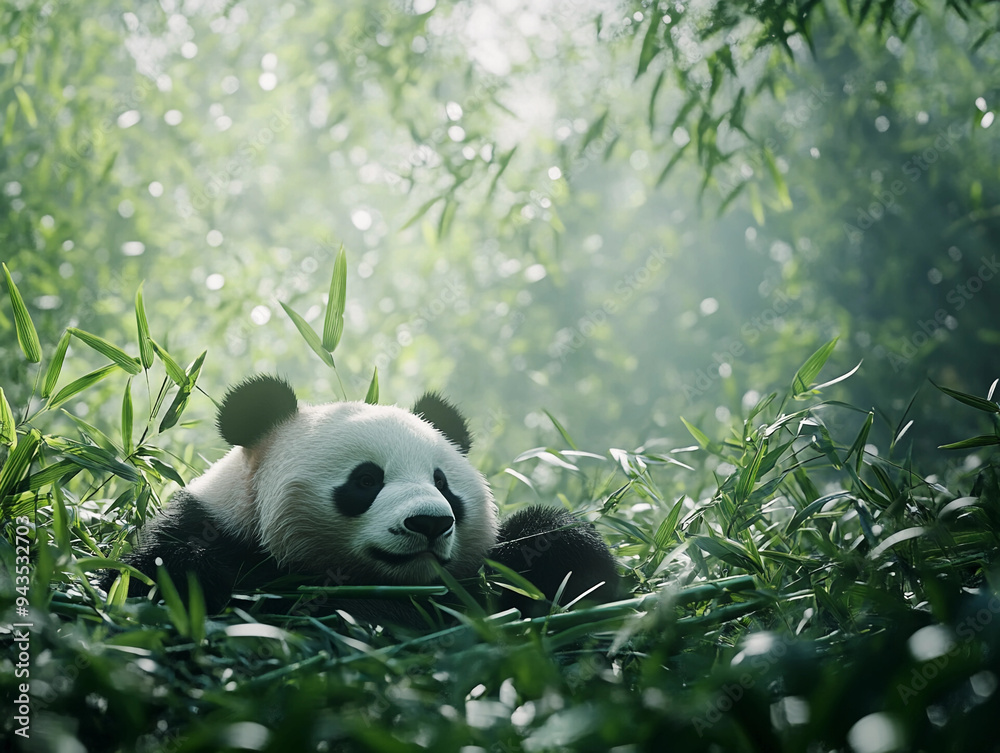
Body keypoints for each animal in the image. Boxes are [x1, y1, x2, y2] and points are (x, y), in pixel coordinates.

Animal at [100, 375, 618, 624]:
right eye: (366, 480)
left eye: (443, 484)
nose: (430, 523)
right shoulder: (210, 534)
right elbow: (160, 579)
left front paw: (570, 556)